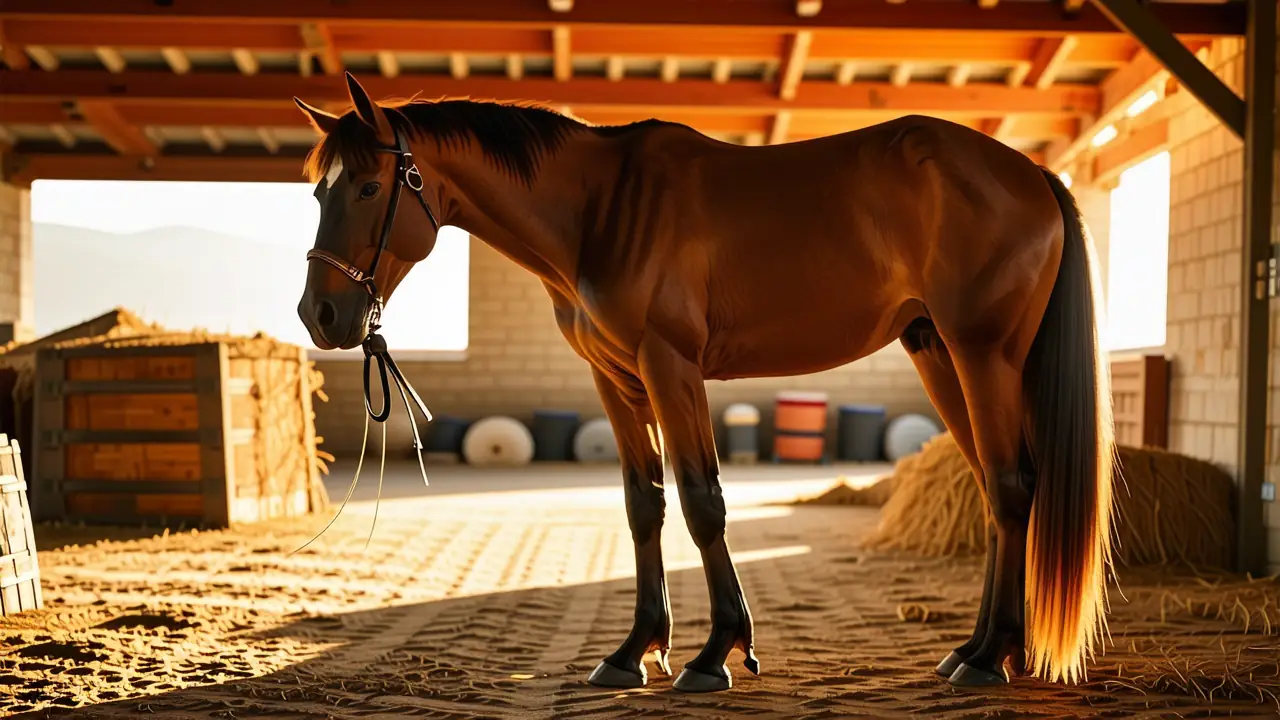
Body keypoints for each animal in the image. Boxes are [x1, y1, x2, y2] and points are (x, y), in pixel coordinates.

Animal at [293, 72, 1116, 694]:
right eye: (317, 191)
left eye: (369, 187)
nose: (320, 315)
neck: (598, 210)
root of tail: (1032, 173)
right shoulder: (615, 380)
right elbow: (643, 506)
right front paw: (633, 650)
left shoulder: (671, 366)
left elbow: (701, 501)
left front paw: (716, 651)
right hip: (938, 352)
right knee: (995, 489)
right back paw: (980, 649)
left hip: (983, 354)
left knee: (1011, 486)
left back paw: (989, 658)